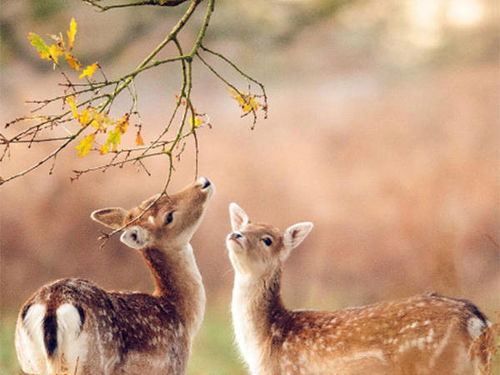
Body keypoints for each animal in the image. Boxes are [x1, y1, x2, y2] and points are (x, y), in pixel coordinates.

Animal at [15, 178, 215, 375]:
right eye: (169, 217)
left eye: (157, 195)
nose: (203, 183)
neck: (180, 314)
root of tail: (51, 305)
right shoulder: (173, 367)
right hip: (87, 365)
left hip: (30, 364)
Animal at [228, 204, 496, 375]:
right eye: (244, 226)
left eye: (268, 240)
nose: (235, 235)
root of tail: (476, 321)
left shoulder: (289, 370)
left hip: (434, 363)